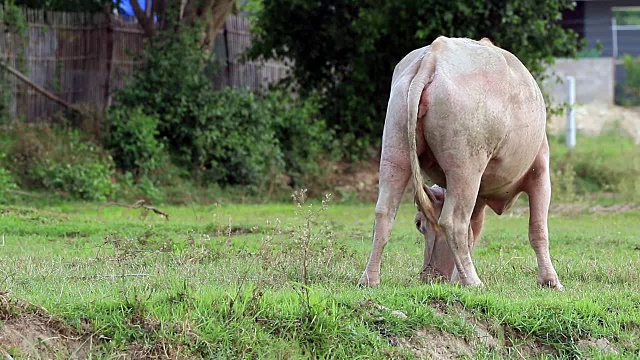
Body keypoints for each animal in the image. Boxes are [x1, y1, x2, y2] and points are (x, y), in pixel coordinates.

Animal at [358, 35, 564, 290]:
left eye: (418, 223)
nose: (430, 275)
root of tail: (433, 56)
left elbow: (472, 233)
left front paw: (458, 278)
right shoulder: (540, 172)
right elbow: (537, 230)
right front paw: (550, 280)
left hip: (395, 150)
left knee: (384, 212)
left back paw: (370, 279)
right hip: (466, 168)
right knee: (453, 222)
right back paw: (474, 282)